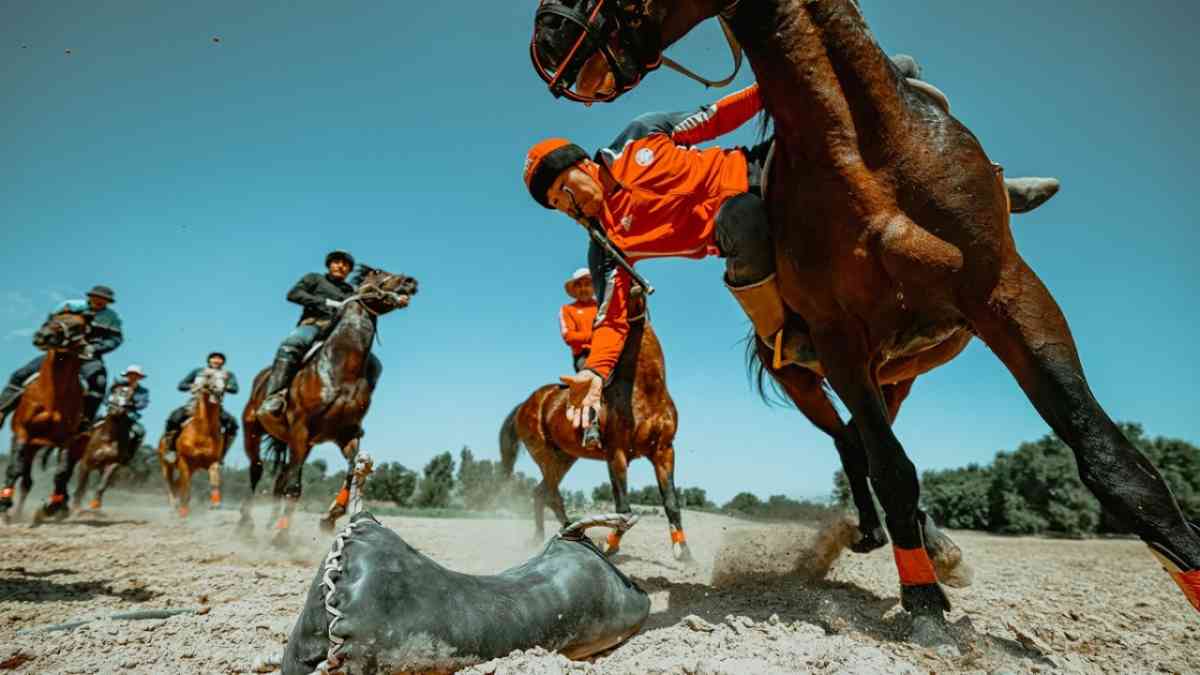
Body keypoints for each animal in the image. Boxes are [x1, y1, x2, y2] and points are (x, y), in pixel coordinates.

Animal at [0, 309, 91, 521]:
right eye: (52, 318)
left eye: (78, 326)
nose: (43, 335)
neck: (51, 396)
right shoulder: (22, 432)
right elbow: (14, 468)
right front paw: (4, 503)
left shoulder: (67, 439)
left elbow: (61, 472)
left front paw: (53, 506)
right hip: (27, 444)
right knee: (21, 475)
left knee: (33, 481)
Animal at [158, 365, 230, 511]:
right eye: (209, 376)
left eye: (226, 378)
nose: (218, 391)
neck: (202, 431)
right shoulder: (184, 461)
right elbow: (186, 486)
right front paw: (183, 508)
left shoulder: (211, 461)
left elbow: (215, 481)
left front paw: (216, 504)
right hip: (166, 466)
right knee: (170, 484)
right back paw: (174, 505)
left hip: (192, 468)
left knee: (176, 484)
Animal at [238, 265, 417, 542]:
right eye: (378, 272)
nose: (410, 281)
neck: (340, 369)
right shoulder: (301, 428)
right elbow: (295, 487)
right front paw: (282, 537)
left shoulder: (346, 433)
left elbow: (352, 470)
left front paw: (330, 516)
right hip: (254, 430)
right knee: (257, 470)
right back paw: (246, 525)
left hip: (300, 444)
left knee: (280, 478)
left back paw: (269, 525)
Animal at [496, 291, 691, 559]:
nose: (635, 291)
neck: (645, 388)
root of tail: (526, 404)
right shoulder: (617, 453)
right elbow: (623, 508)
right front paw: (610, 545)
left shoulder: (664, 451)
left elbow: (671, 502)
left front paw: (685, 553)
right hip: (544, 455)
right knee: (551, 495)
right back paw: (572, 533)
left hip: (564, 457)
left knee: (541, 493)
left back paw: (541, 538)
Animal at [532, 0, 1200, 634]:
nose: (547, 37)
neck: (867, 156)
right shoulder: (838, 337)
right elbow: (891, 467)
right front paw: (924, 603)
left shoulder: (1010, 293)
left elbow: (1110, 458)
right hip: (811, 378)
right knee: (855, 441)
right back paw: (900, 540)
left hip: (899, 371)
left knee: (867, 434)